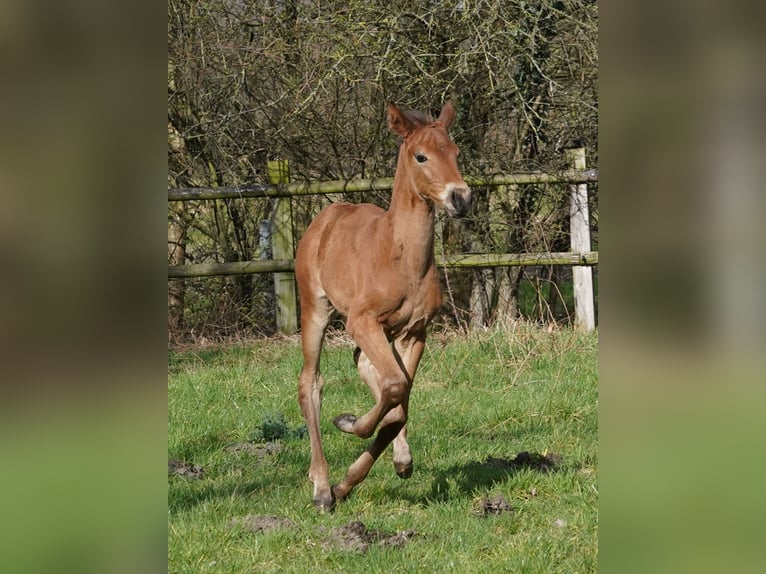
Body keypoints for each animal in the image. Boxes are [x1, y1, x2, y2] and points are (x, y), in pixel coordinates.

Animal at [296, 100, 472, 512]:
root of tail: (325, 217)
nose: (461, 198)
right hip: (316, 309)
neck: (401, 258)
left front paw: (365, 475)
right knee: (310, 383)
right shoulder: (362, 321)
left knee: (363, 363)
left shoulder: (415, 331)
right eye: (421, 156)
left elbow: (399, 399)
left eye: (456, 153)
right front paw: (349, 424)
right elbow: (394, 387)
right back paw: (321, 486)